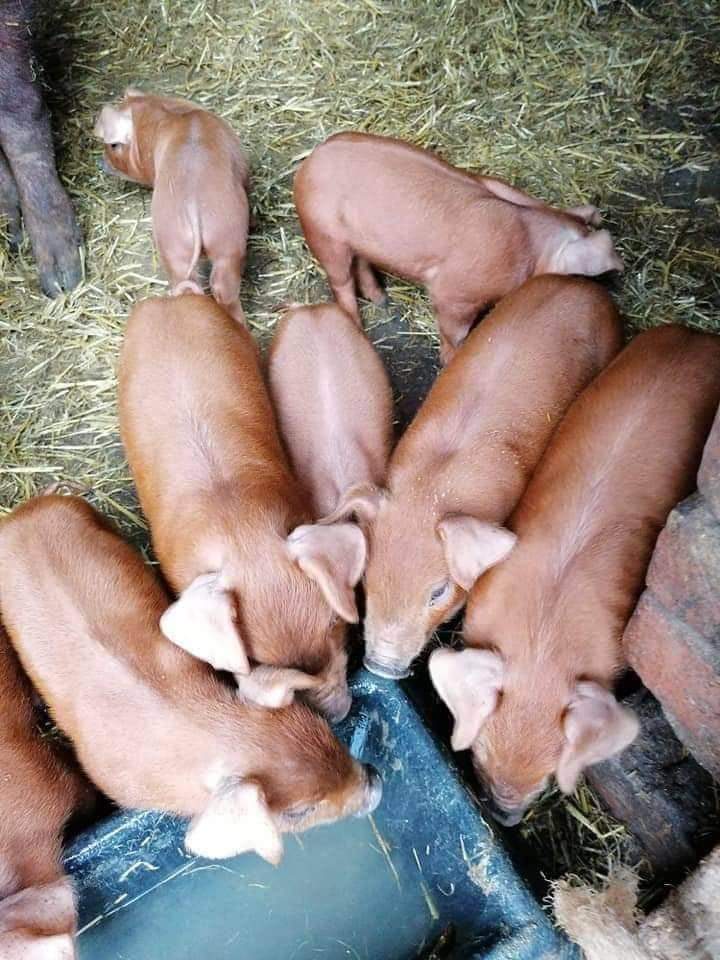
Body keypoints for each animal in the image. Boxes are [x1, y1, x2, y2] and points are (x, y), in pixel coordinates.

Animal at [294, 132, 623, 363]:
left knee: (361, 263)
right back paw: (358, 327)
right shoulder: (453, 294)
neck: (529, 242)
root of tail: (312, 159)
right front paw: (451, 360)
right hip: (323, 234)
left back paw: (382, 299)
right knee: (341, 283)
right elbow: (455, 332)